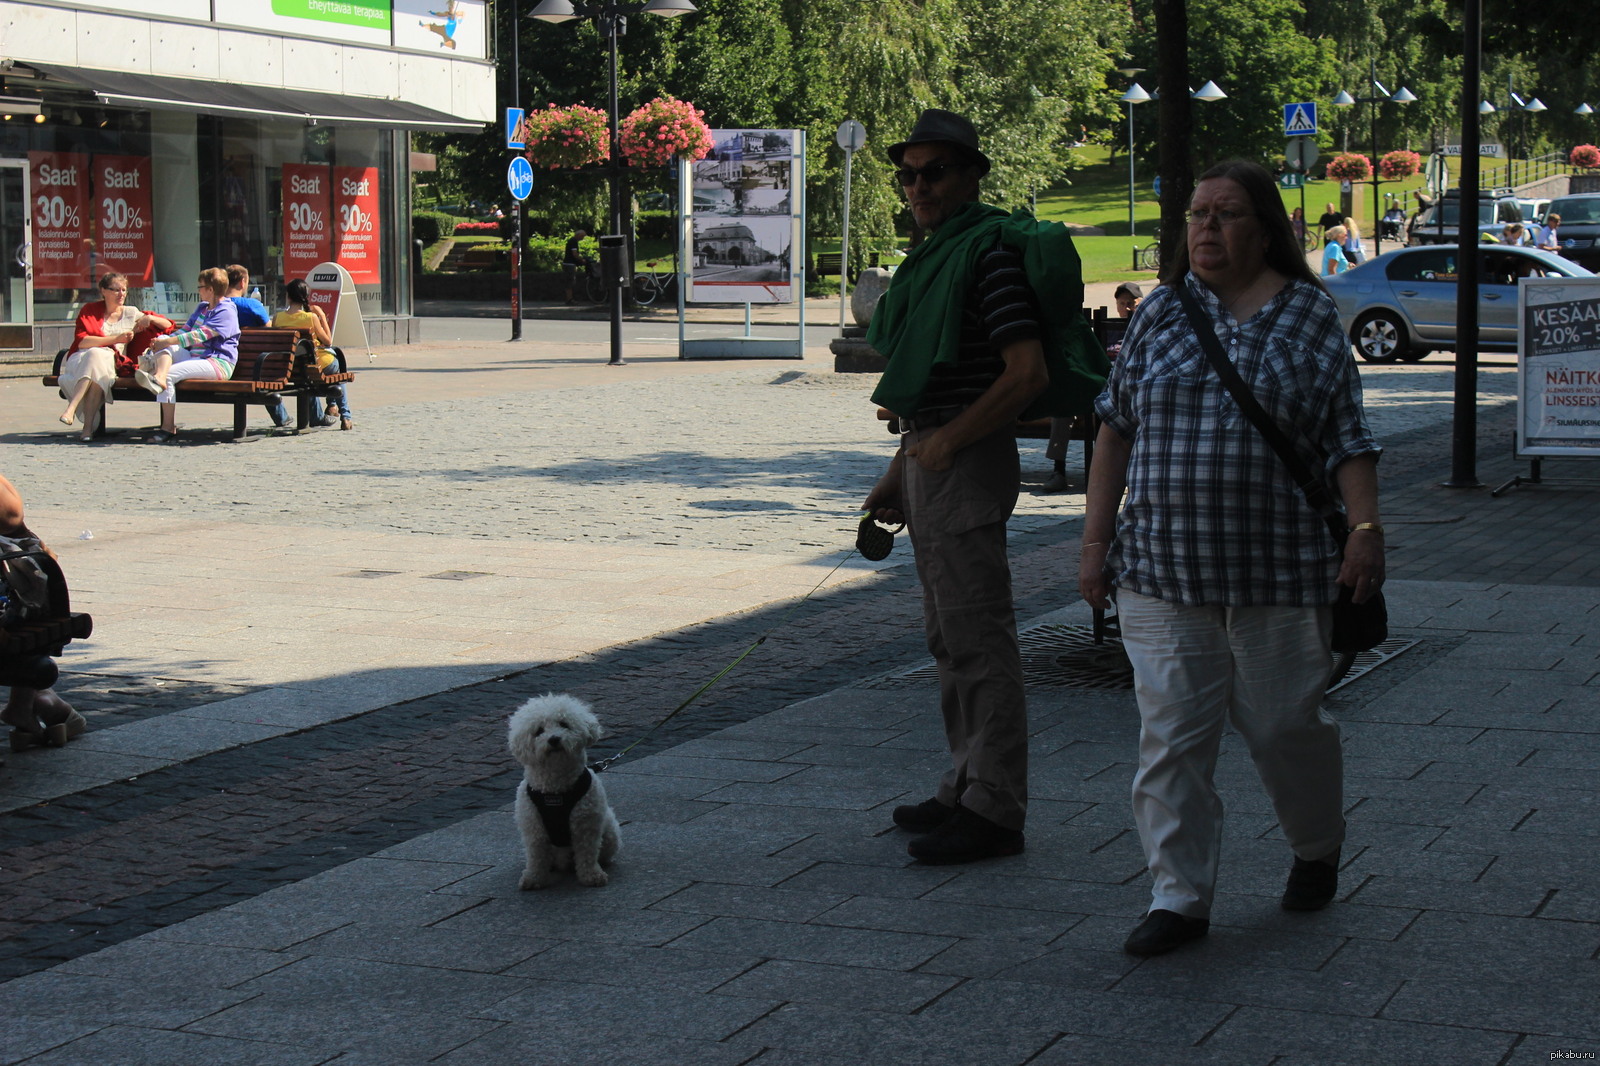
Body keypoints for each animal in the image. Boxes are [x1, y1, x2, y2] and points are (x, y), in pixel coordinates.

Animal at [508, 688, 620, 889]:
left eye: (564, 724)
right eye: (539, 731)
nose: (554, 739)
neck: (556, 789)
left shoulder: (586, 825)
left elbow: (587, 854)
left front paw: (592, 876)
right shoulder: (534, 828)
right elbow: (536, 857)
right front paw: (533, 878)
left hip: (610, 833)